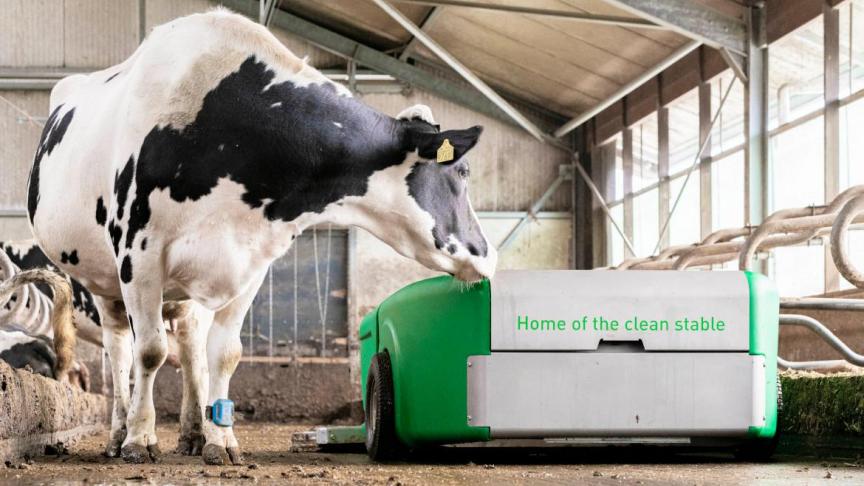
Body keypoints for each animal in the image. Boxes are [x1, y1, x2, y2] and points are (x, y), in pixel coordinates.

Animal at [27, 8, 496, 465]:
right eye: (463, 171)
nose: (487, 253)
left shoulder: (251, 262)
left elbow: (224, 353)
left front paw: (220, 440)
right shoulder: (138, 253)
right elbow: (150, 352)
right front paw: (140, 440)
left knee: (190, 348)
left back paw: (192, 433)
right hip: (103, 281)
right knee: (121, 352)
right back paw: (118, 433)